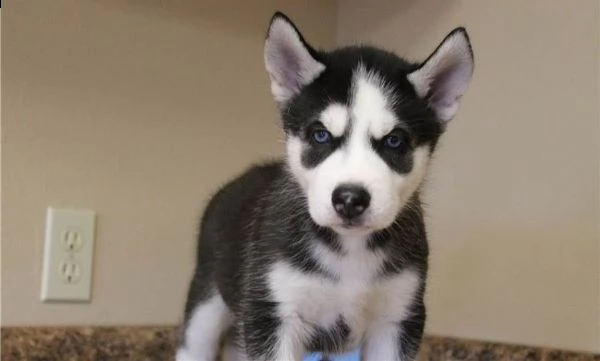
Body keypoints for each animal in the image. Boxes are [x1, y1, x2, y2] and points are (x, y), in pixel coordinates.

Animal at [176, 10, 476, 360]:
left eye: (395, 141)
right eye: (320, 134)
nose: (349, 199)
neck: (348, 250)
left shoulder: (398, 317)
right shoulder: (273, 314)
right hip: (207, 303)